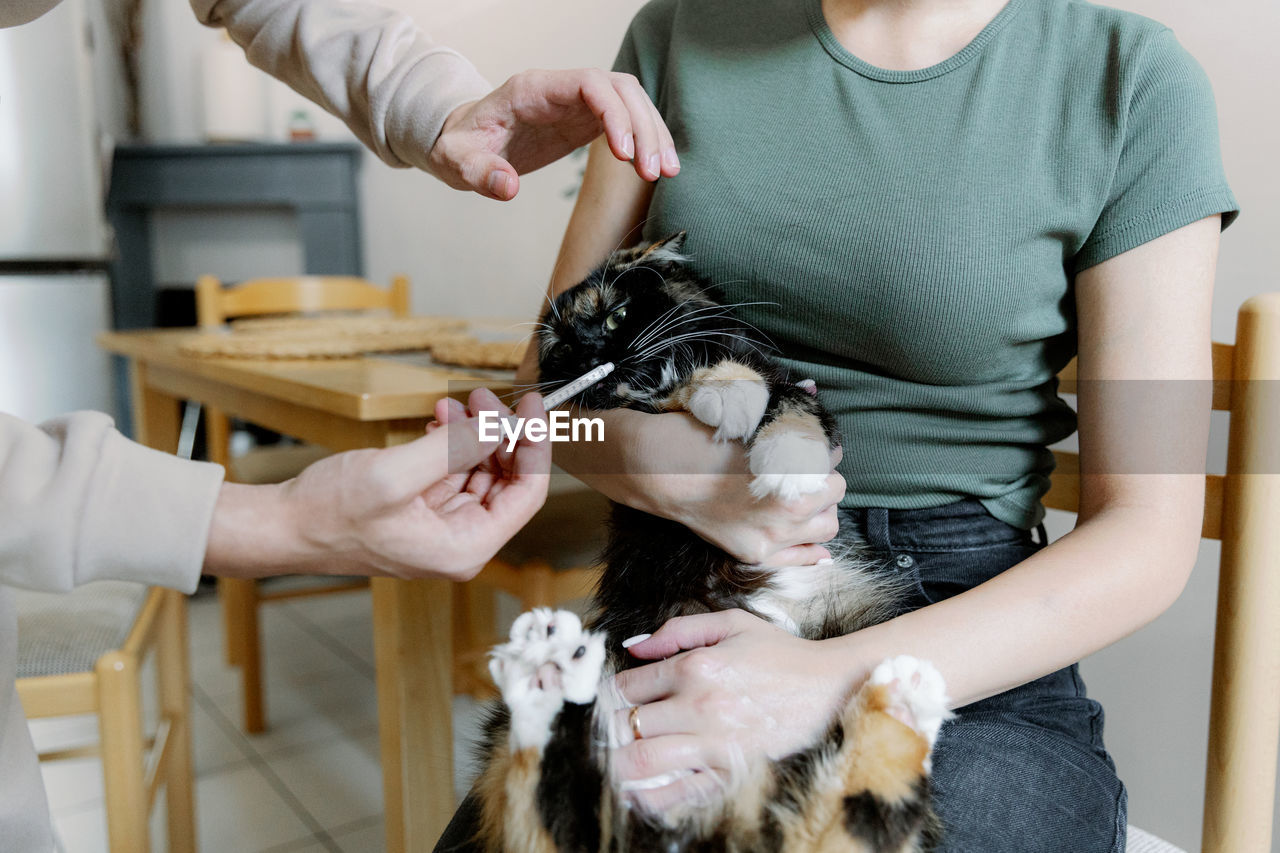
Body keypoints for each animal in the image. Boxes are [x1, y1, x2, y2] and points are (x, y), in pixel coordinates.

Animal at [471, 229, 952, 845]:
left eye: (615, 315)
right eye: (562, 348)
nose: (594, 357)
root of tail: (688, 825)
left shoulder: (789, 385)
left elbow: (783, 399)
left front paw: (787, 466)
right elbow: (691, 389)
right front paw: (729, 401)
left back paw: (907, 691)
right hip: (518, 747)